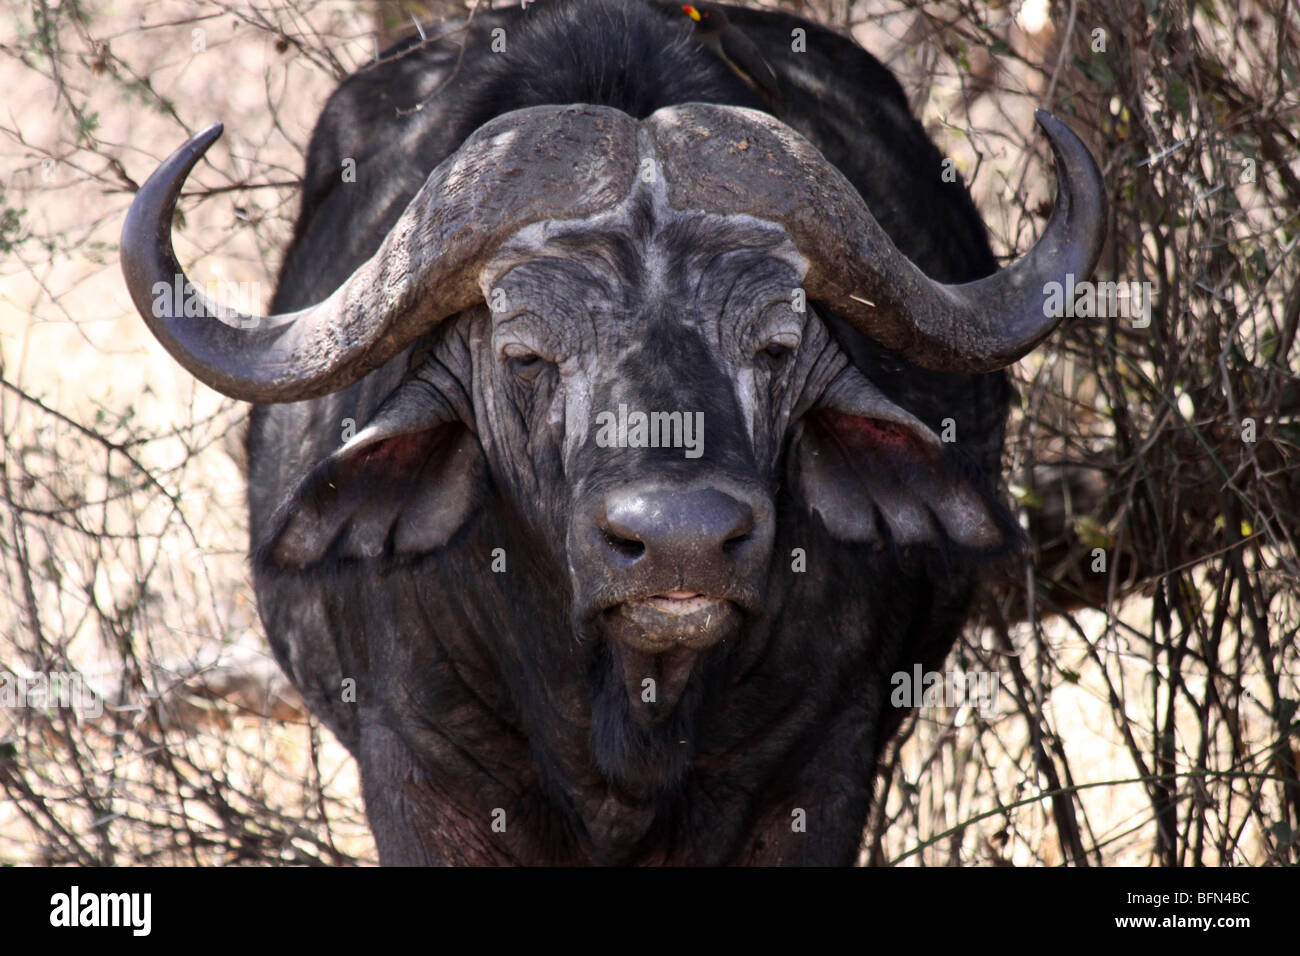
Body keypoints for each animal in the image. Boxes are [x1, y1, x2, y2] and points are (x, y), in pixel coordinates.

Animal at [122, 0, 1102, 868]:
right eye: (524, 353)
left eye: (777, 344)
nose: (681, 543)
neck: (630, 706)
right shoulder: (417, 771)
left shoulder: (824, 765)